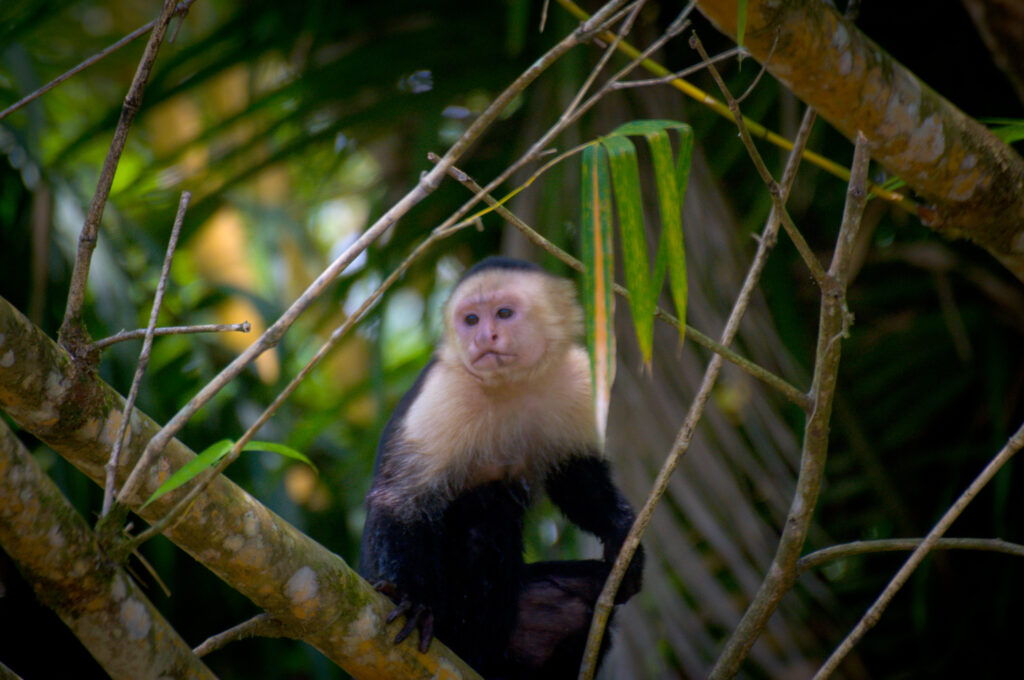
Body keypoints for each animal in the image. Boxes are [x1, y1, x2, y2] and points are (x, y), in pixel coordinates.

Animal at [358, 256, 643, 678]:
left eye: (504, 314)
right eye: (471, 319)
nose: (484, 337)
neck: (511, 384)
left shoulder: (576, 379)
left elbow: (577, 477)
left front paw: (621, 531)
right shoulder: (445, 394)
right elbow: (402, 500)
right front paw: (411, 599)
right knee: (484, 506)